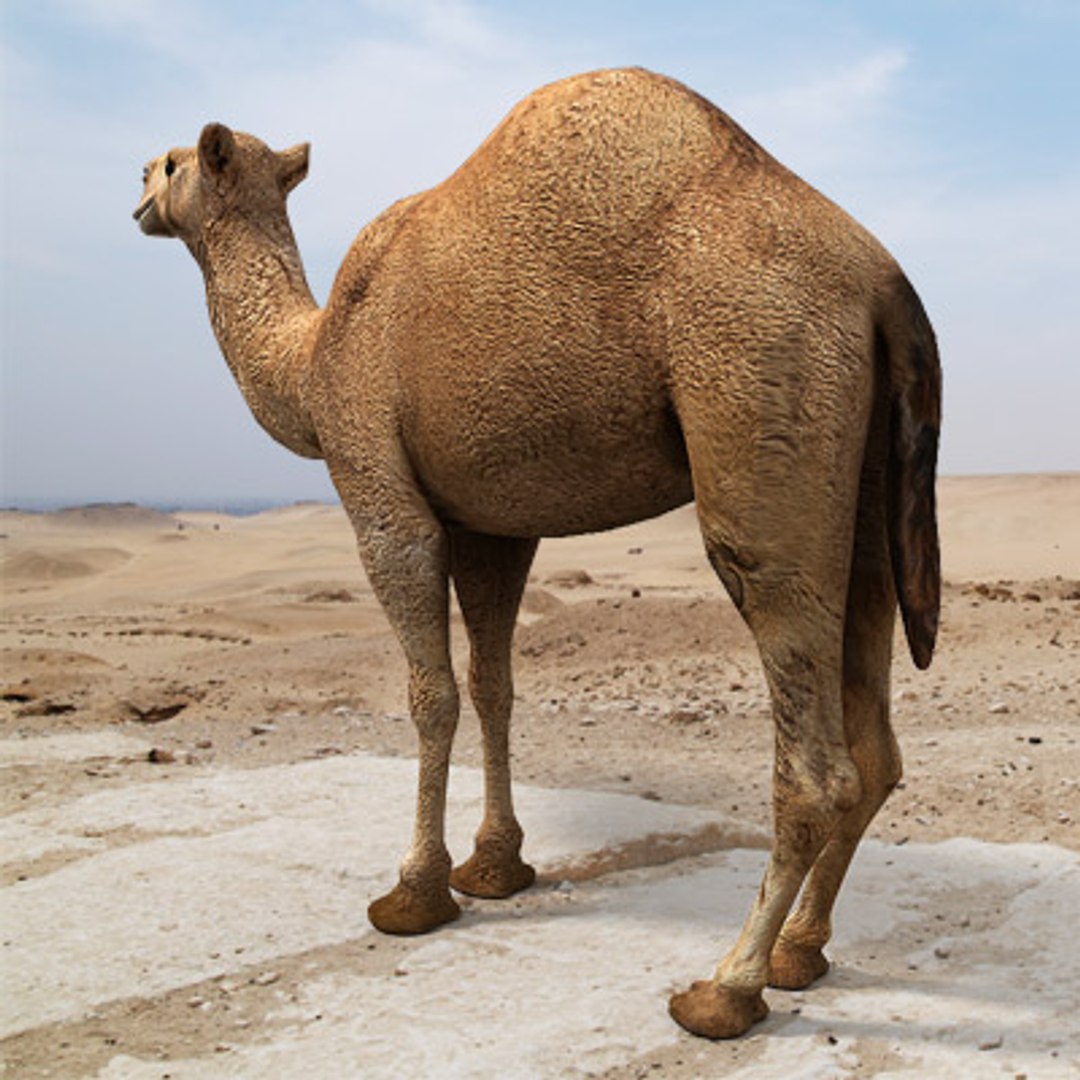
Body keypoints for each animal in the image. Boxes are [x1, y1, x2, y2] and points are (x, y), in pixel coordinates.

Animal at [133, 67, 940, 1039]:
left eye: (171, 162)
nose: (134, 196)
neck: (311, 353)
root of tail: (885, 281)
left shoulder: (377, 483)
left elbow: (431, 693)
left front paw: (414, 892)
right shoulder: (493, 525)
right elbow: (495, 687)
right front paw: (494, 867)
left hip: (758, 389)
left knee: (813, 743)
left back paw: (726, 986)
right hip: (862, 478)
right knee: (875, 732)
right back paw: (799, 953)